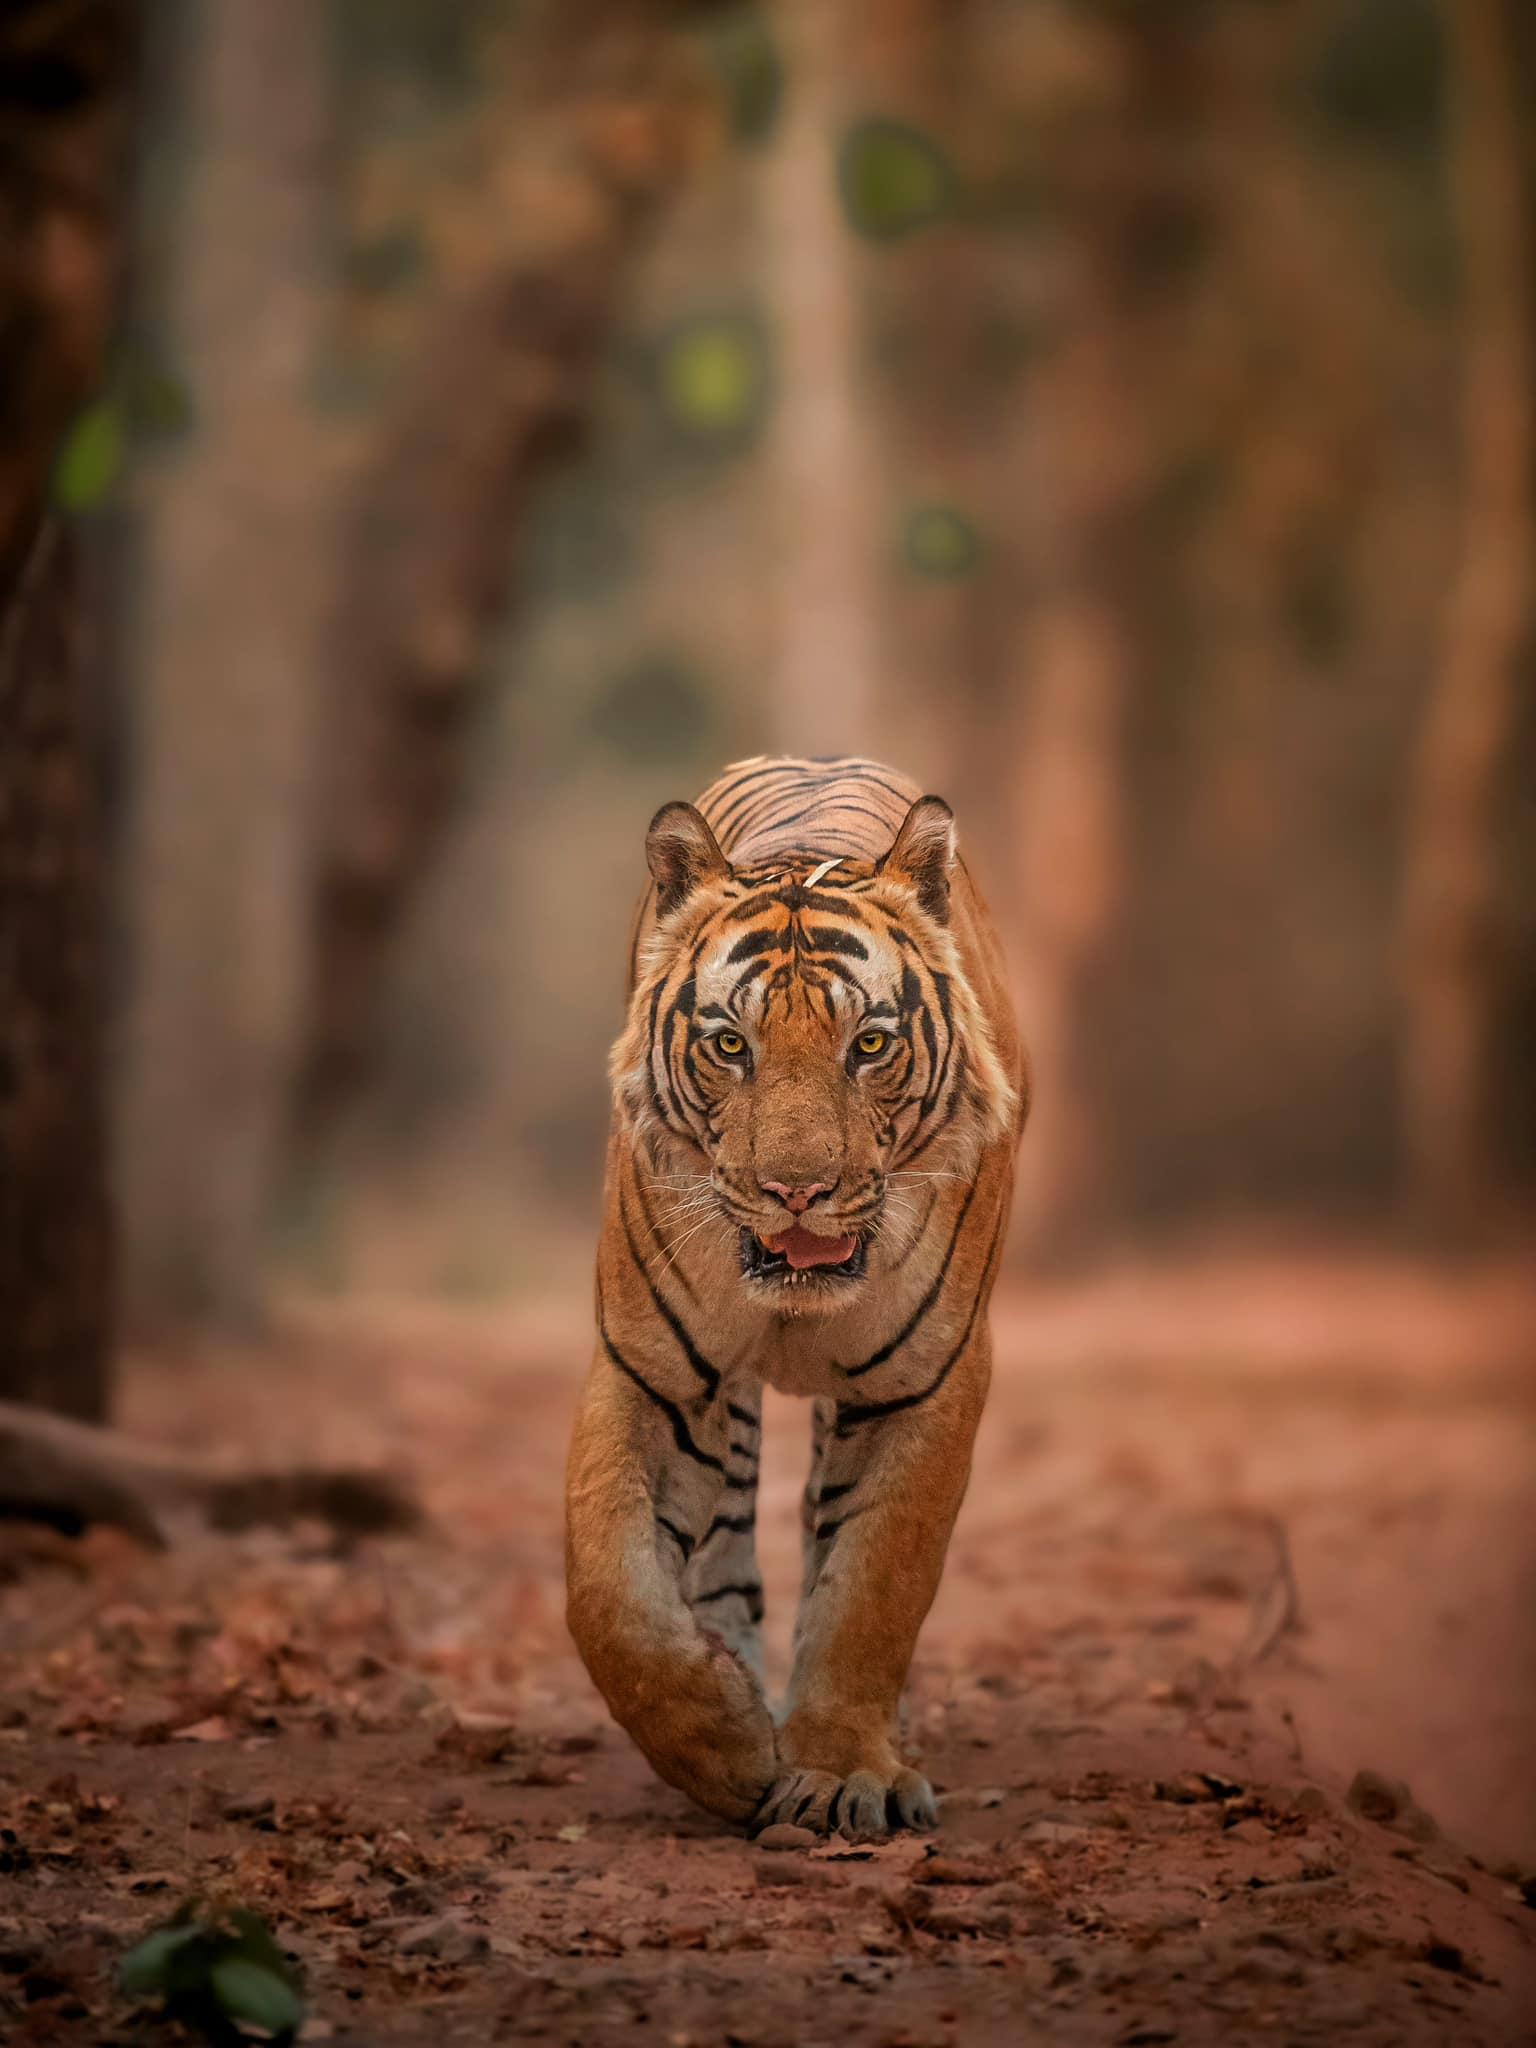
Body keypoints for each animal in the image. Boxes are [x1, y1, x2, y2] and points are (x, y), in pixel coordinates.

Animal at [565, 755, 1026, 1838]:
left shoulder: (924, 1384)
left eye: (871, 1045)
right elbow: (608, 1590)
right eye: (731, 1044)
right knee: (725, 1539)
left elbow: (872, 1585)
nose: (797, 1190)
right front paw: (727, 1748)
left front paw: (839, 1768)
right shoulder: (644, 1365)